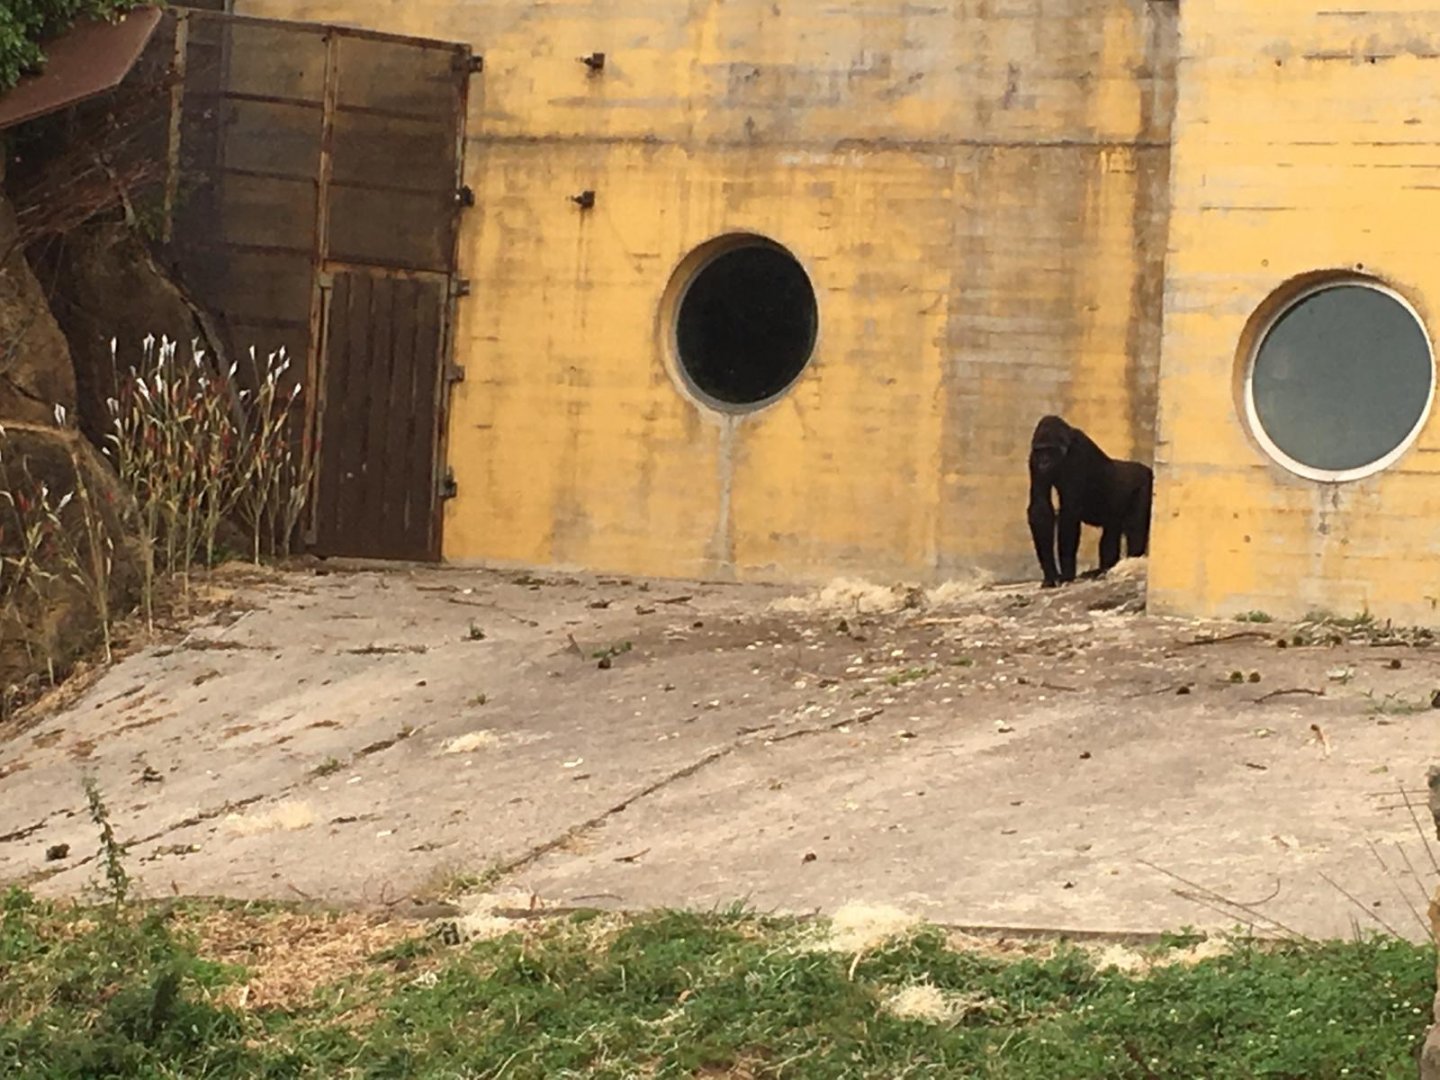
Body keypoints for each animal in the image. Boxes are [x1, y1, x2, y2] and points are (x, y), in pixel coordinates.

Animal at [1026, 415, 1152, 588]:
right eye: (1040, 451)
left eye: (1049, 450)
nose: (1043, 462)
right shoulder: (1033, 459)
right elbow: (1040, 508)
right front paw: (1050, 575)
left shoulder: (1078, 454)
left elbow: (1069, 514)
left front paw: (1067, 574)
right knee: (1111, 533)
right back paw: (1103, 569)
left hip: (1146, 486)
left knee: (1136, 530)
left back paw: (1131, 563)